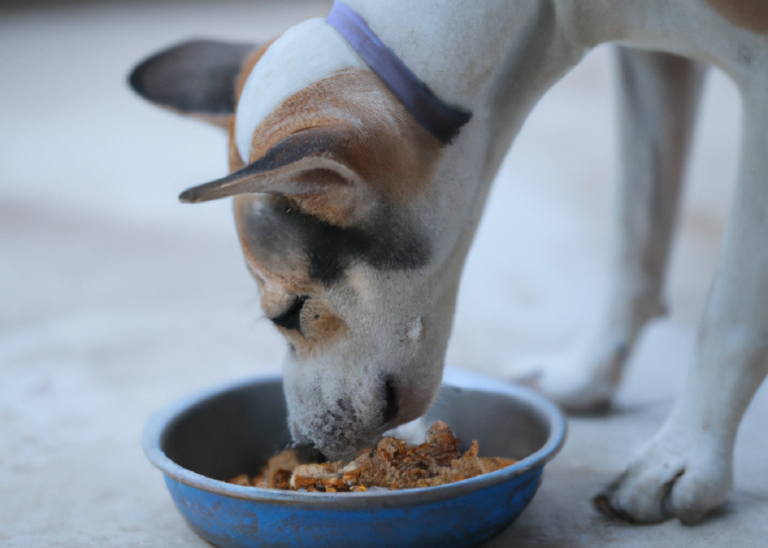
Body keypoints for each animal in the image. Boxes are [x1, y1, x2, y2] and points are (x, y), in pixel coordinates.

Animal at [132, 1, 768, 528]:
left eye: (289, 313)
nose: (304, 452)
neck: (544, 20)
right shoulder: (647, 61)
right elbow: (636, 234)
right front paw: (591, 374)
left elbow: (731, 313)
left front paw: (682, 460)